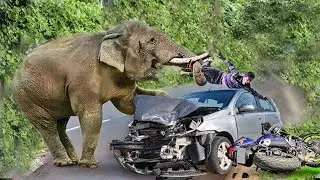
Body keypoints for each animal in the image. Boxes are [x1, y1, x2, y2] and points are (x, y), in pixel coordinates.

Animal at [11, 19, 205, 168]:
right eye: (152, 40)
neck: (110, 33)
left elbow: (129, 103)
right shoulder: (82, 83)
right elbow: (92, 116)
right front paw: (89, 165)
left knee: (61, 124)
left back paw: (73, 160)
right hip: (27, 98)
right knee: (47, 125)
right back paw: (65, 163)